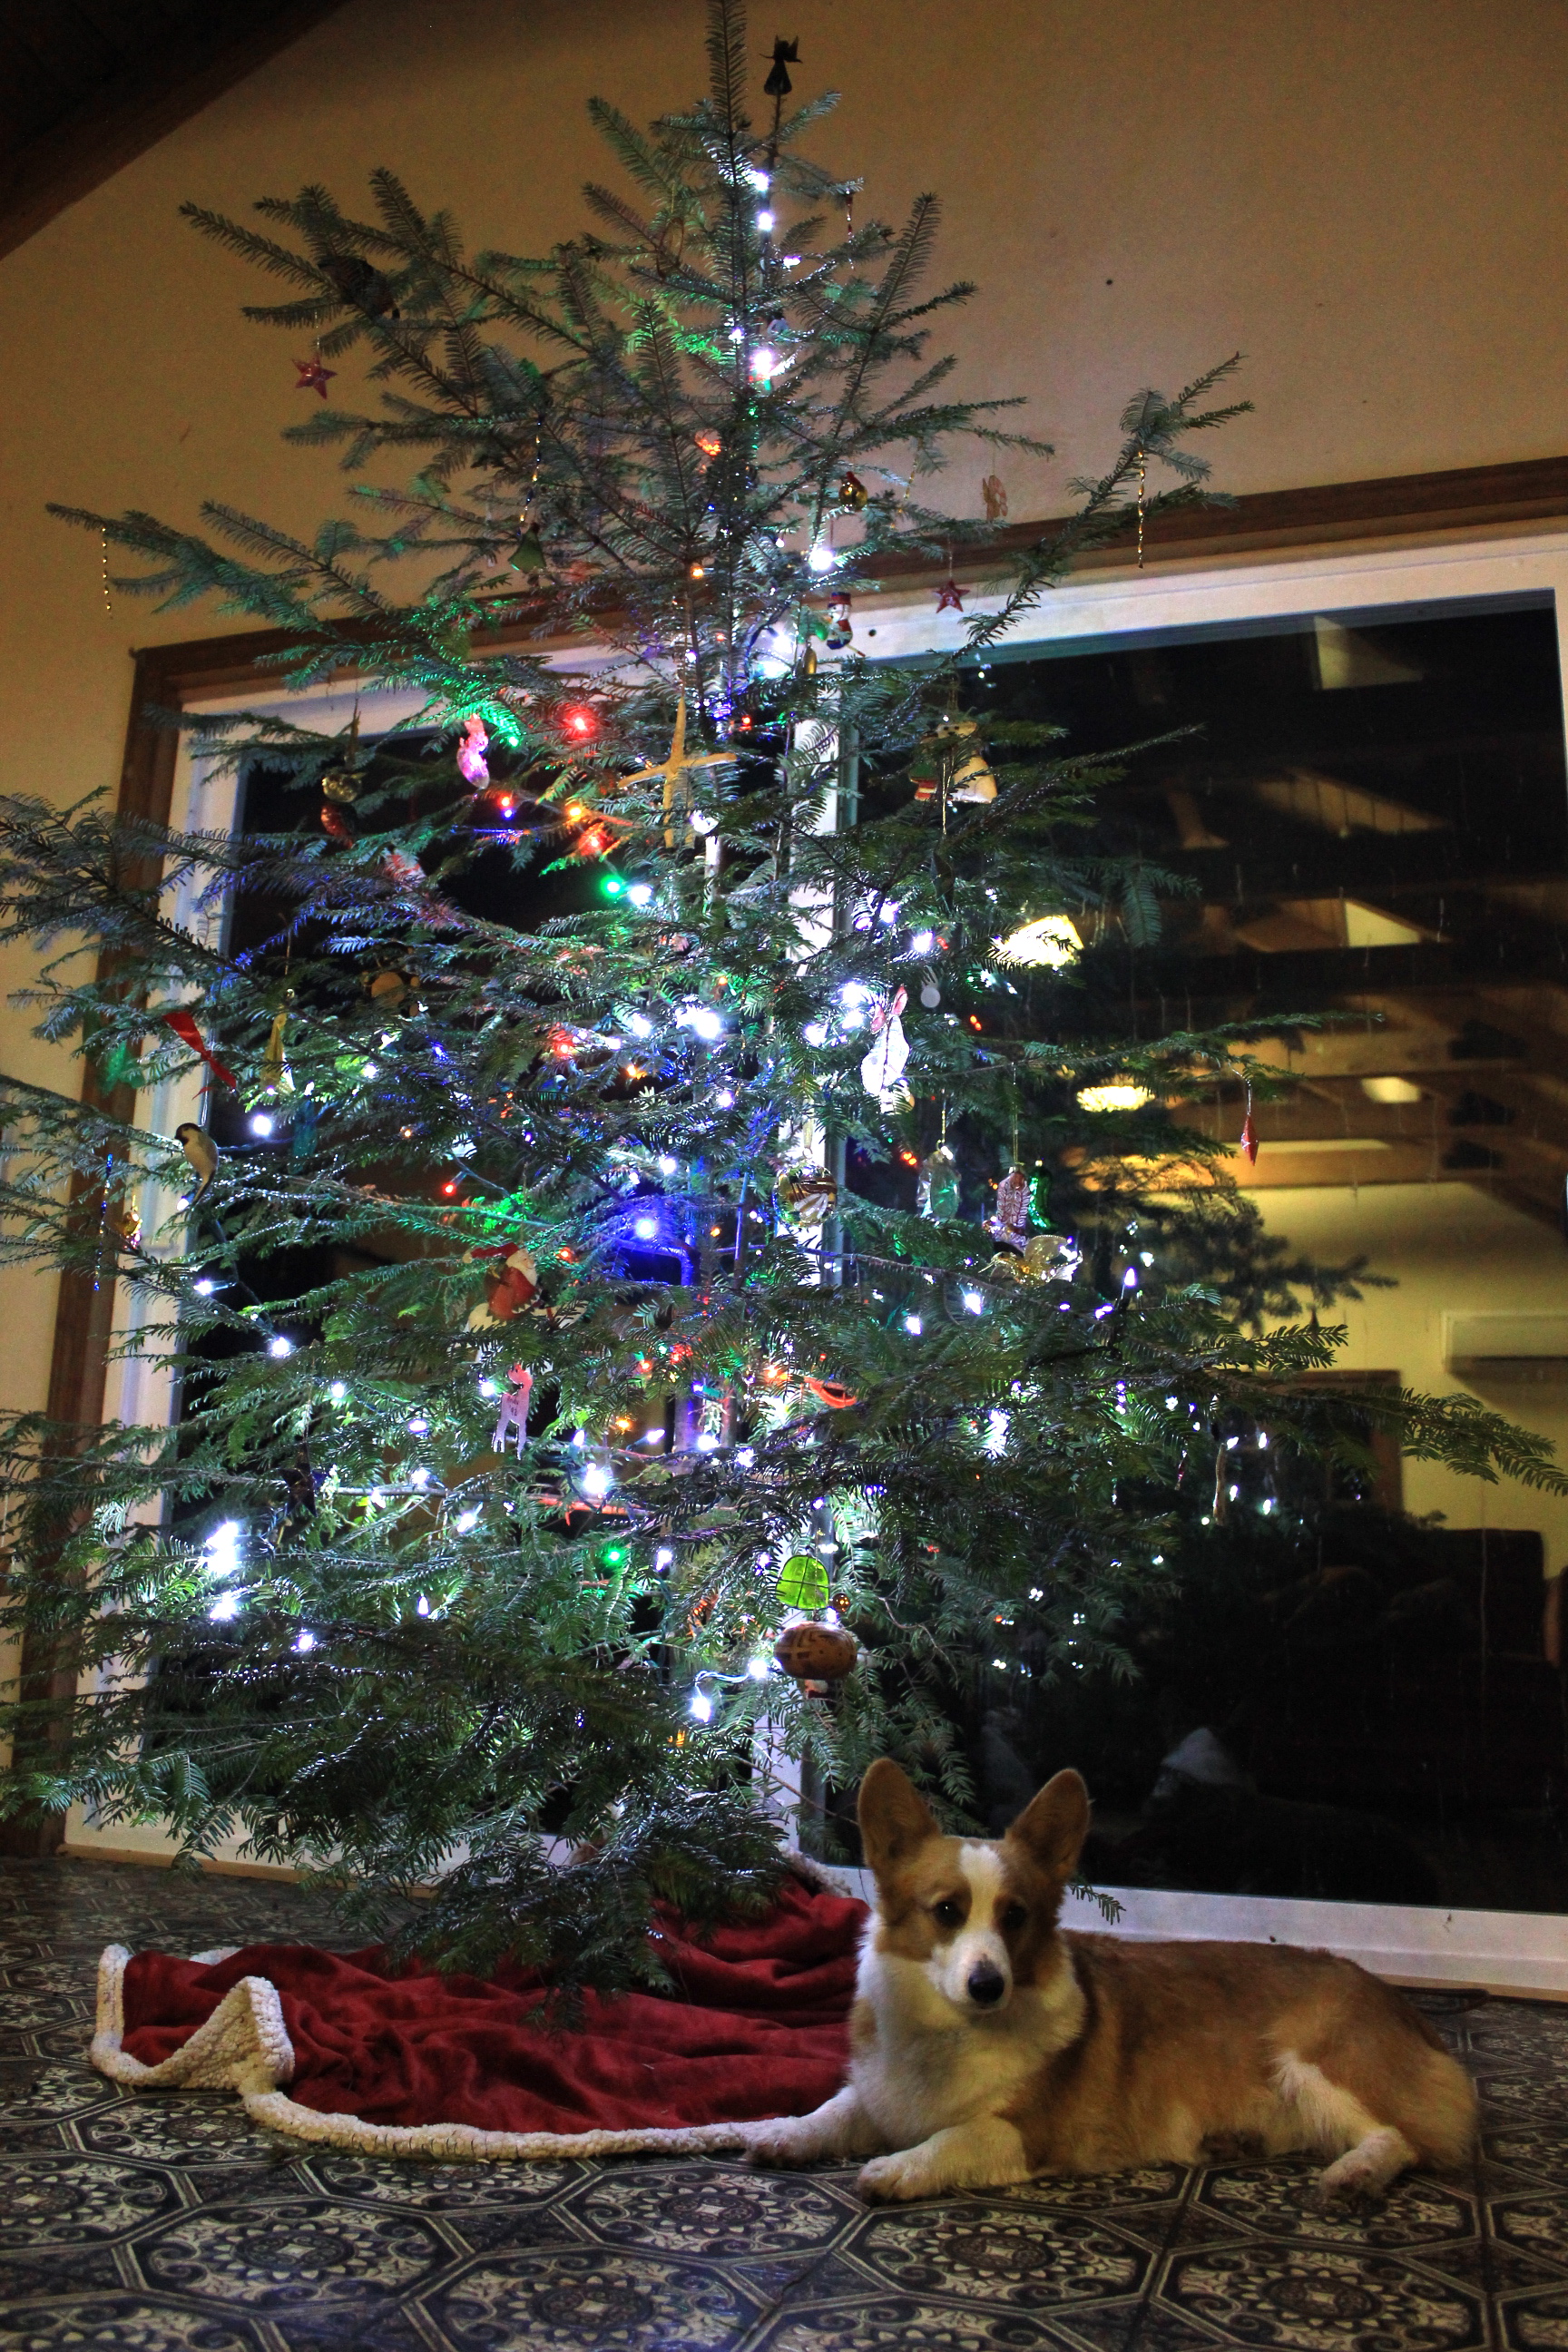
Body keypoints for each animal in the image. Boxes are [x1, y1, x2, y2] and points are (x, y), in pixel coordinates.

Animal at [749, 1759, 1476, 2205]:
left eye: (1015, 1917)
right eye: (947, 1911)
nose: (988, 1985)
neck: (948, 2034)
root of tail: (1402, 2005)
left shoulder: (1022, 2132)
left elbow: (952, 2139)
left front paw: (896, 2168)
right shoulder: (876, 2098)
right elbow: (830, 2113)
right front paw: (775, 2134)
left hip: (1313, 2062)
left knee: (1401, 2138)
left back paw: (1356, 2173)